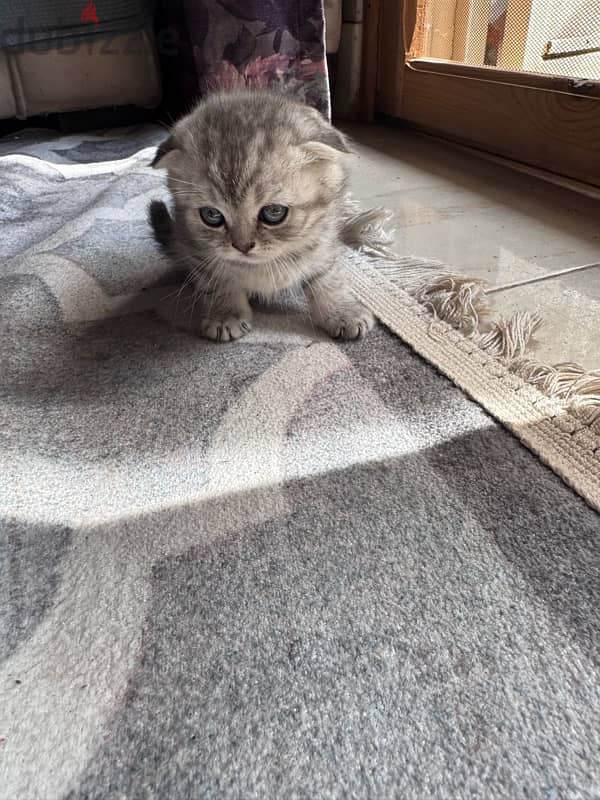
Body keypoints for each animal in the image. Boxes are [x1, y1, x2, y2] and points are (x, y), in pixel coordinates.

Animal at [149, 90, 372, 340]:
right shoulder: (196, 247)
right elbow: (217, 279)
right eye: (211, 215)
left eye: (274, 212)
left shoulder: (325, 236)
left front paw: (341, 311)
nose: (243, 246)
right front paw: (226, 314)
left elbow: (327, 275)